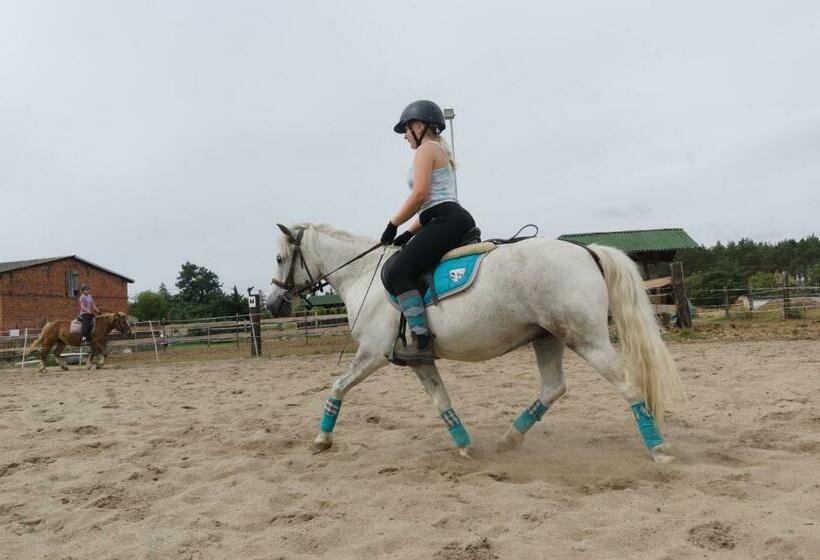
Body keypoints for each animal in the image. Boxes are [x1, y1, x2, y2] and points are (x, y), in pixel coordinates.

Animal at [268, 223, 685, 464]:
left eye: (279, 258)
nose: (273, 305)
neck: (364, 274)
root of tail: (586, 250)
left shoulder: (372, 354)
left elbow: (337, 387)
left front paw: (322, 440)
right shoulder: (420, 361)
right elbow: (442, 402)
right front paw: (465, 444)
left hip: (586, 338)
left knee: (627, 384)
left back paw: (659, 447)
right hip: (547, 338)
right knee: (553, 388)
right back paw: (509, 439)